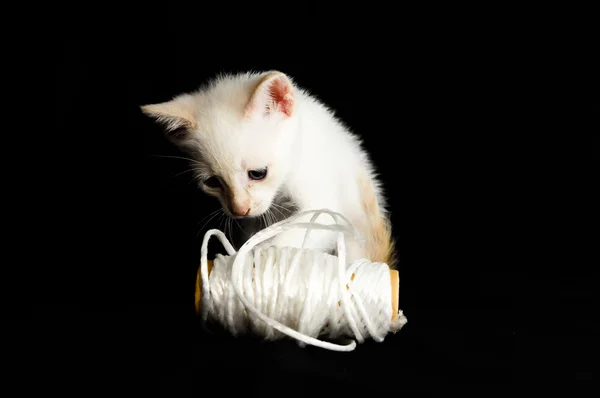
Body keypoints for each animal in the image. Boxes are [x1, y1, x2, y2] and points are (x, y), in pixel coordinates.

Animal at [142, 70, 396, 268]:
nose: (239, 209)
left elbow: (302, 229)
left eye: (258, 174)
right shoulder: (253, 221)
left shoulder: (325, 197)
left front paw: (259, 255)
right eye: (213, 182)